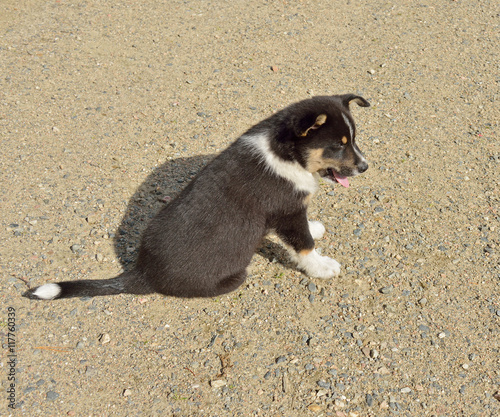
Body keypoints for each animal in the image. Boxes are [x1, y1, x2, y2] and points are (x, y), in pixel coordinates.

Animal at [23, 93, 370, 300]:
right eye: (336, 146)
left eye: (352, 140)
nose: (365, 167)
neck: (286, 152)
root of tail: (141, 274)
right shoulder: (286, 211)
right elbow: (304, 245)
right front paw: (323, 267)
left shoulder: (290, 212)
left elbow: (304, 232)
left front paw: (315, 228)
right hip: (233, 276)